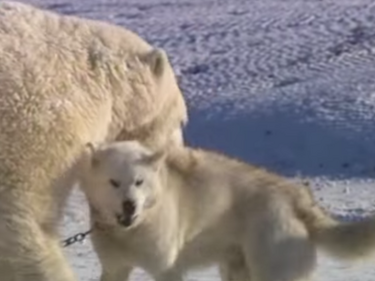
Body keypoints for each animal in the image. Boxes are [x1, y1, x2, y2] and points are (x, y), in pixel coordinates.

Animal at [79, 141, 375, 280]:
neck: (129, 232)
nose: (130, 205)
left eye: (139, 182)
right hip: (237, 271)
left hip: (273, 271)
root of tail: (294, 195)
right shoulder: (115, 269)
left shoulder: (166, 271)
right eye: (114, 182)